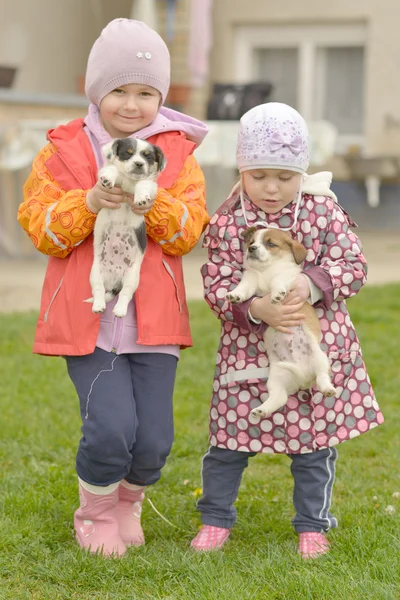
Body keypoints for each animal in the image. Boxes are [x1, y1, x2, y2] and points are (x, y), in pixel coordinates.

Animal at [86, 138, 166, 318]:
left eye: (148, 156)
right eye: (127, 153)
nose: (139, 164)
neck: (130, 182)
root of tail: (114, 280)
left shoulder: (151, 185)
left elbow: (143, 183)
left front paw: (141, 198)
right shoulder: (109, 171)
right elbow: (113, 170)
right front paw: (108, 178)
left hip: (132, 278)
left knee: (125, 294)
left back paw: (119, 310)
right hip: (95, 273)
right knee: (98, 290)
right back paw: (98, 306)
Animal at [227, 227, 336, 420]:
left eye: (270, 243)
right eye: (251, 242)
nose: (252, 249)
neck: (266, 270)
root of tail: (303, 379)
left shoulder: (288, 277)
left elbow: (277, 280)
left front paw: (277, 293)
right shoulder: (251, 278)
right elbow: (244, 286)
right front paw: (235, 295)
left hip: (320, 358)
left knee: (323, 377)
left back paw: (328, 389)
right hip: (277, 376)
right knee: (280, 397)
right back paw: (261, 410)